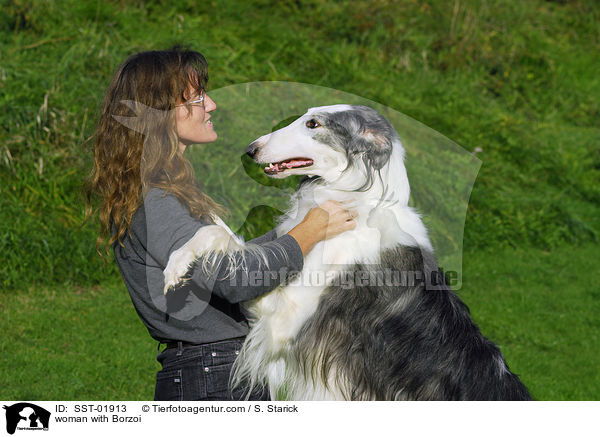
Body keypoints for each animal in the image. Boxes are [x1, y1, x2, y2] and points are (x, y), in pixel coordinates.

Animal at [163, 104, 528, 400]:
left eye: (313, 124)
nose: (251, 150)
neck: (353, 200)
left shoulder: (281, 321)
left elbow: (223, 238)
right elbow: (215, 229)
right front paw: (176, 260)